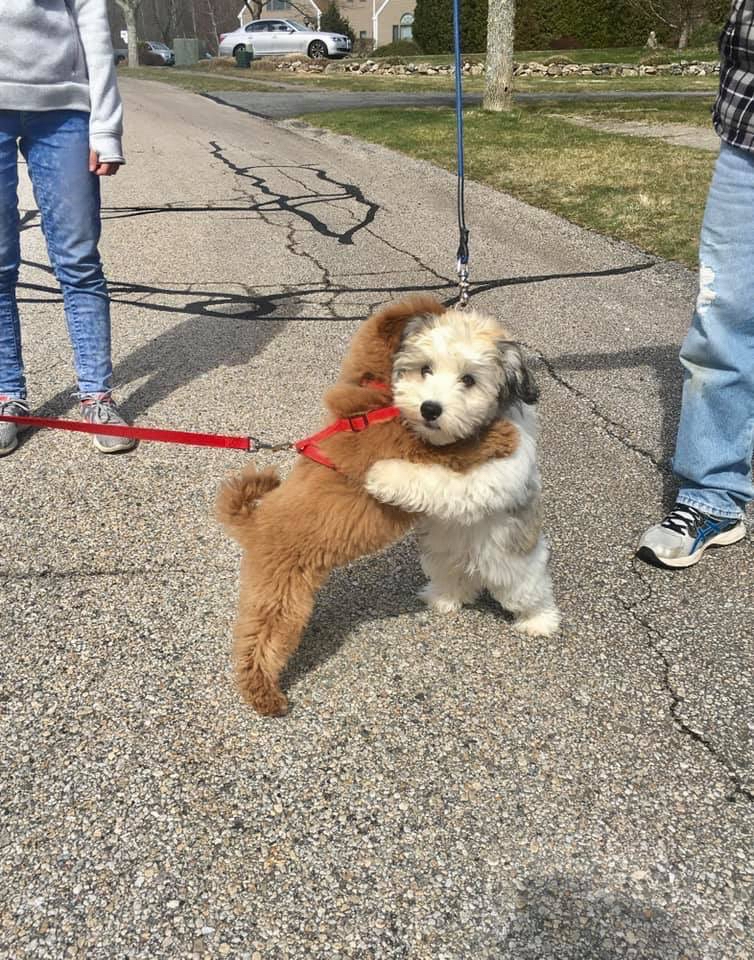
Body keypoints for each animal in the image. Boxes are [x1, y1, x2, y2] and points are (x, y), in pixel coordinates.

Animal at [364, 308, 560, 636]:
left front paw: (383, 474)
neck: (461, 439)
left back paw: (539, 620)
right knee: (453, 580)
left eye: (468, 379)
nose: (430, 408)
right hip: (442, 557)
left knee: (529, 591)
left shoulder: (490, 476)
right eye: (425, 369)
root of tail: (475, 566)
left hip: (515, 566)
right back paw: (444, 598)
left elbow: (440, 481)